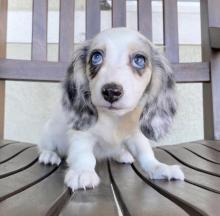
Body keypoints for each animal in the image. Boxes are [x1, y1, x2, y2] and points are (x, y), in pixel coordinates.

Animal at [38, 27, 185, 191]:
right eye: (96, 57)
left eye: (139, 60)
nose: (111, 92)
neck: (114, 119)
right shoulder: (82, 135)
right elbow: (84, 155)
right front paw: (82, 172)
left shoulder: (136, 134)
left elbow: (146, 154)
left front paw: (159, 168)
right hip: (48, 134)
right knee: (45, 147)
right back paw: (49, 156)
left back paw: (121, 154)